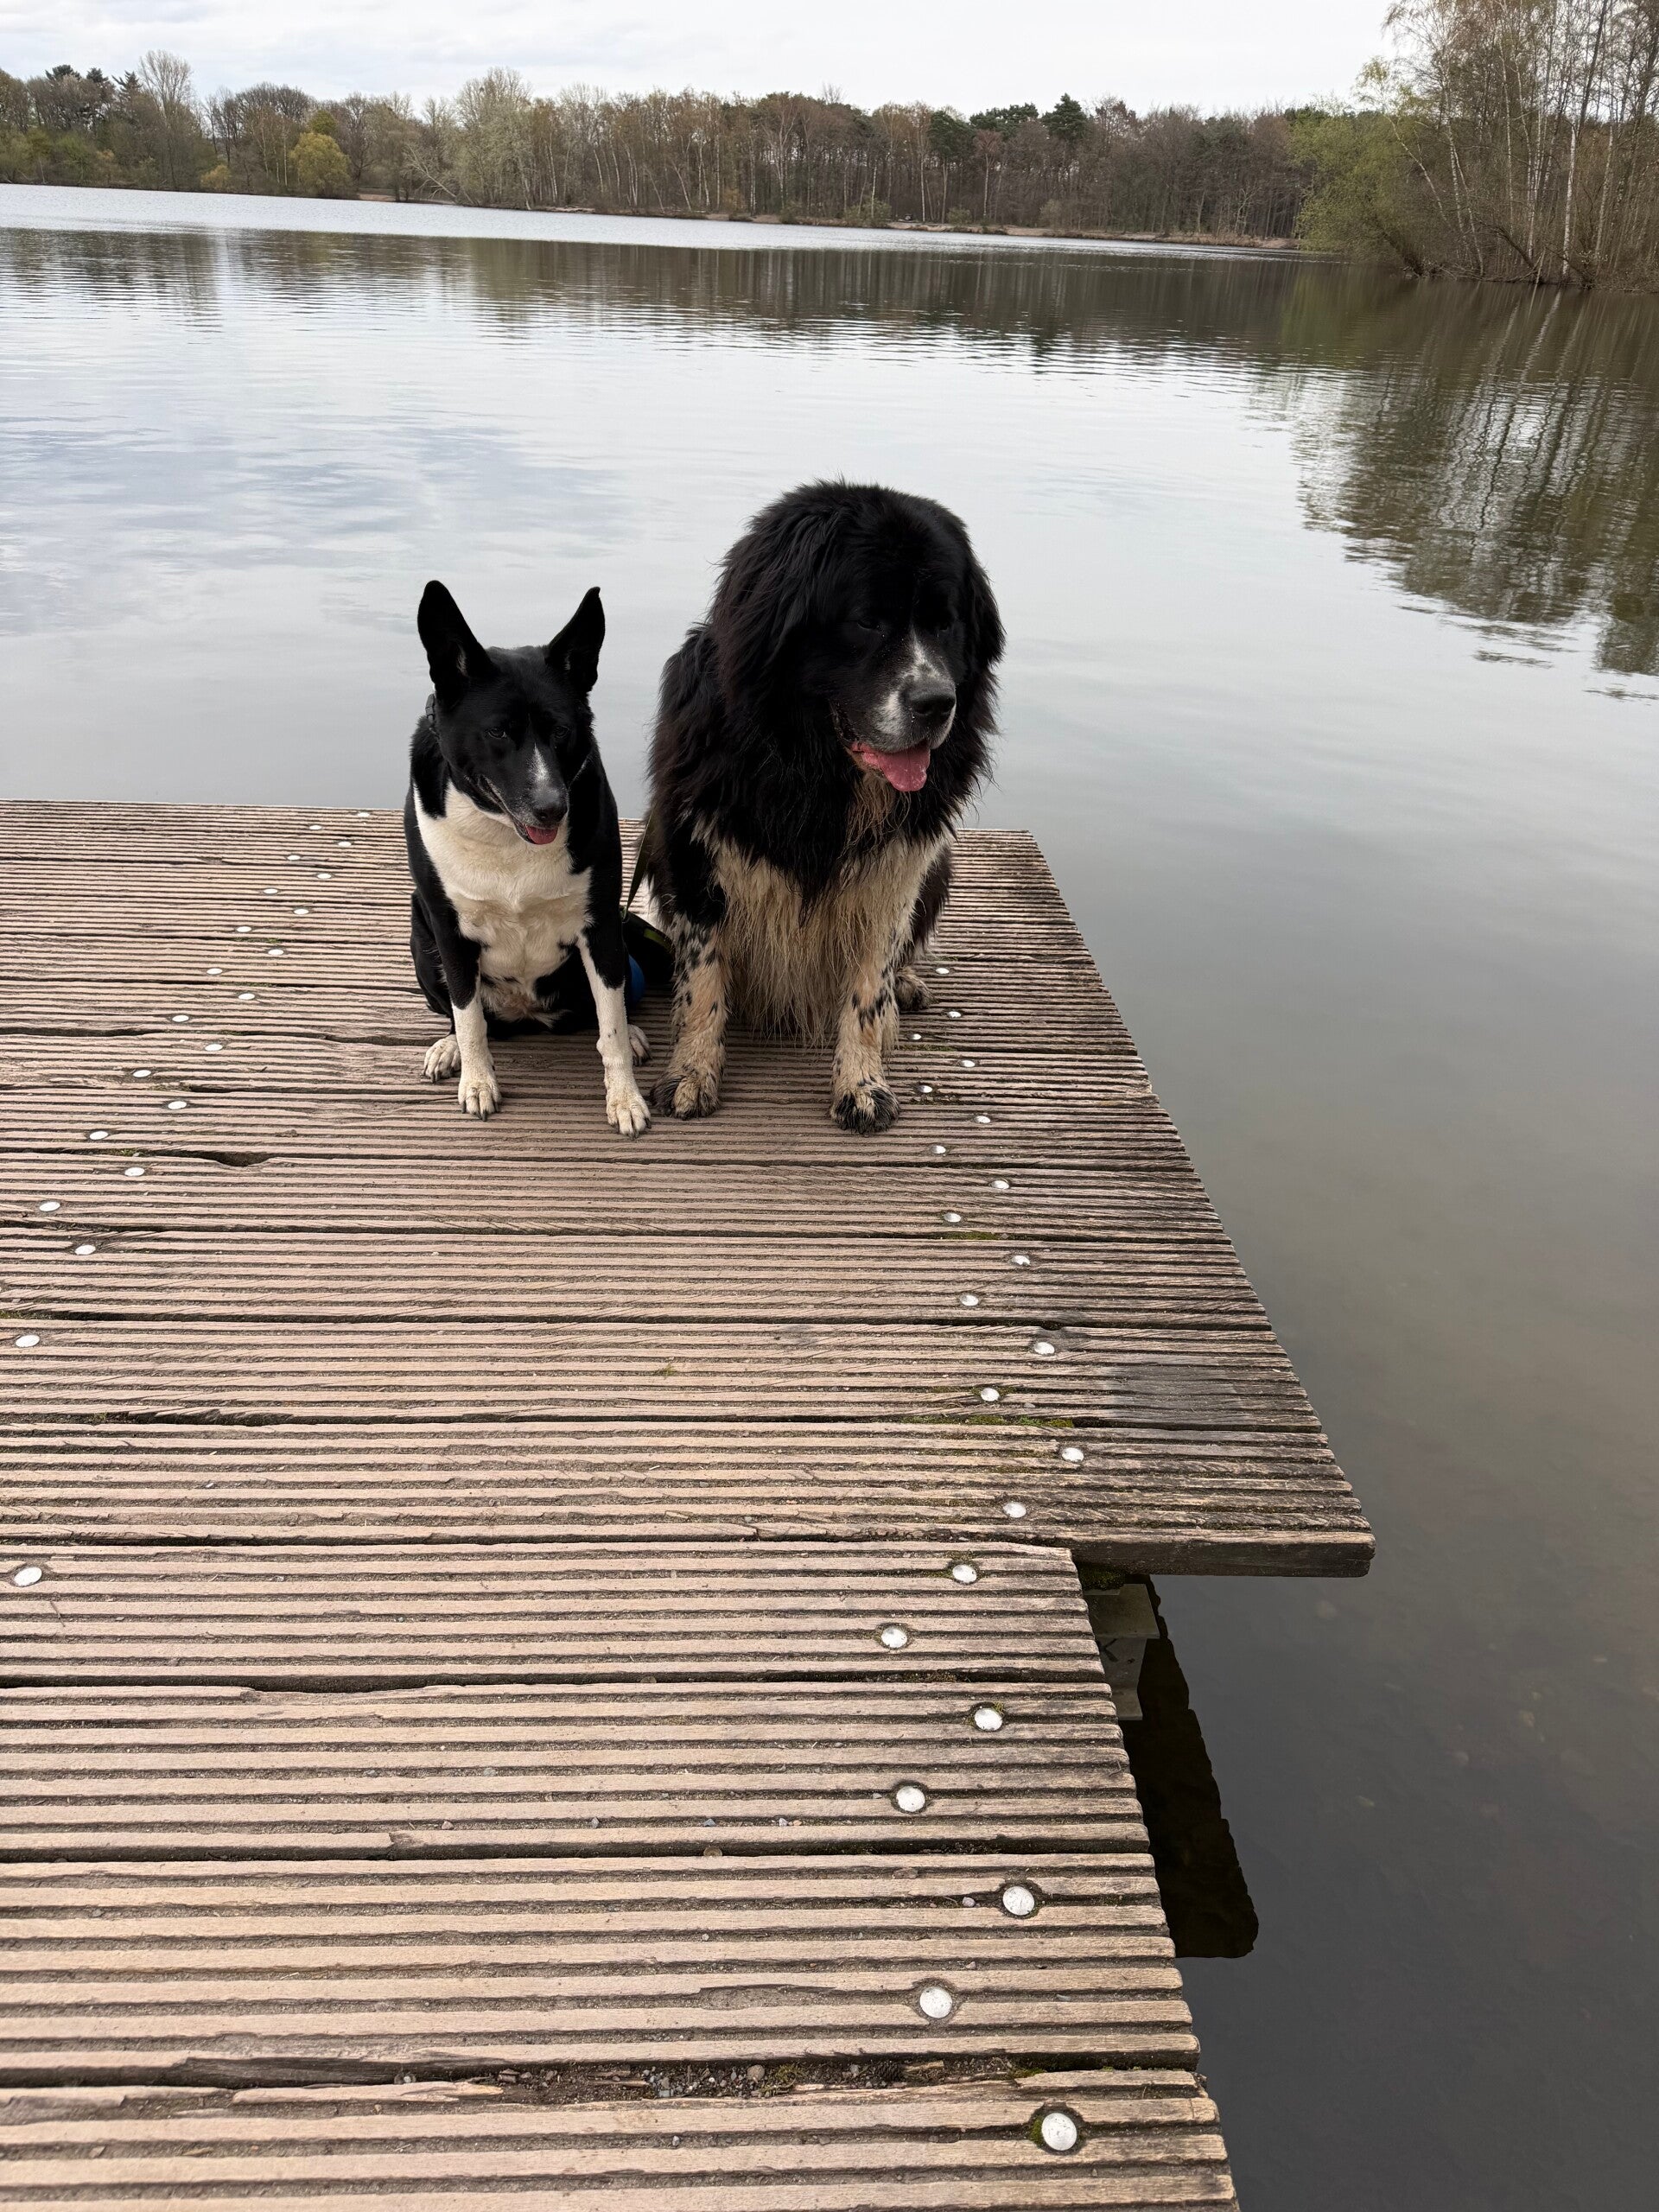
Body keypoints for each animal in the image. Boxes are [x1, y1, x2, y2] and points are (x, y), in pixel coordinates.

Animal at [404, 579, 650, 1134]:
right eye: (498, 731)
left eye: (560, 731)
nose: (552, 806)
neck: (505, 837)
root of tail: (525, 1011)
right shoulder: (450, 932)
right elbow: (469, 1017)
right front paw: (477, 1080)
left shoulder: (601, 926)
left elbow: (611, 1025)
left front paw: (624, 1097)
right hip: (422, 945)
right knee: (465, 1012)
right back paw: (449, 1048)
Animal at [638, 481, 1003, 1132]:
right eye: (867, 621)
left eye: (946, 624)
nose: (937, 702)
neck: (814, 769)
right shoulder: (696, 849)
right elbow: (703, 979)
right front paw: (691, 1074)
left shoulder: (896, 870)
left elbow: (868, 988)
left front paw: (862, 1085)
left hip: (939, 869)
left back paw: (907, 985)